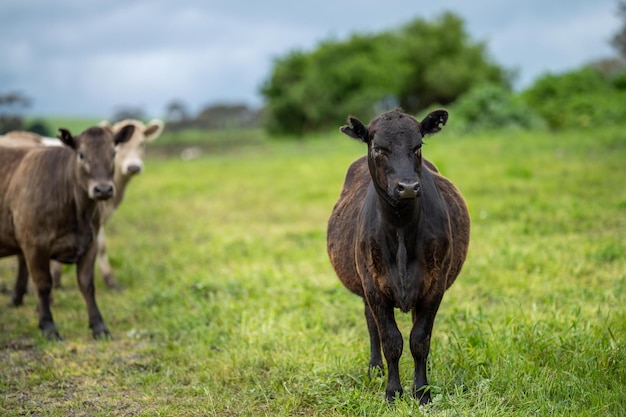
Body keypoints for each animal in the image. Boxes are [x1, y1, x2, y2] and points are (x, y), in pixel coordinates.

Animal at [0, 125, 134, 340]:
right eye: (81, 155)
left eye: (113, 153)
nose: (103, 189)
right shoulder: (34, 244)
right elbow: (44, 284)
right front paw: (48, 327)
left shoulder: (90, 243)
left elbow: (87, 284)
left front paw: (99, 326)